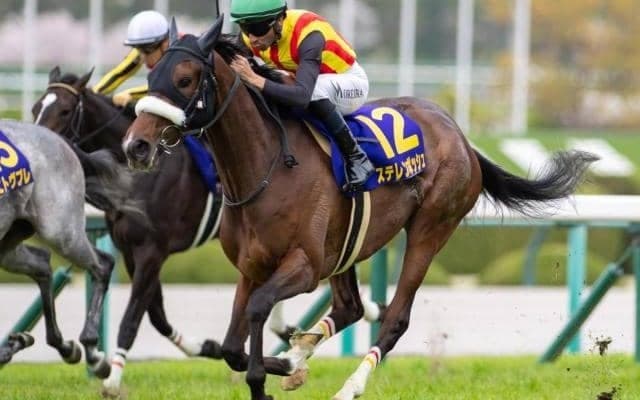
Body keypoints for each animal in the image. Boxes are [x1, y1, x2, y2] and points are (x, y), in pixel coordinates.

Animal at [0, 119, 136, 377]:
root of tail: (60, 140)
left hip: (61, 231)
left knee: (102, 264)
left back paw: (93, 353)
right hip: (8, 240)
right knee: (43, 263)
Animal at [122, 17, 597, 400]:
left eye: (185, 79)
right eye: (151, 74)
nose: (136, 145)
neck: (264, 167)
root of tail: (460, 135)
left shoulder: (304, 265)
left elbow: (257, 311)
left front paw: (267, 379)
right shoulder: (252, 266)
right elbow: (230, 349)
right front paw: (287, 365)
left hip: (429, 229)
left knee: (395, 318)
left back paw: (349, 387)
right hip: (346, 246)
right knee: (349, 307)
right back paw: (299, 356)